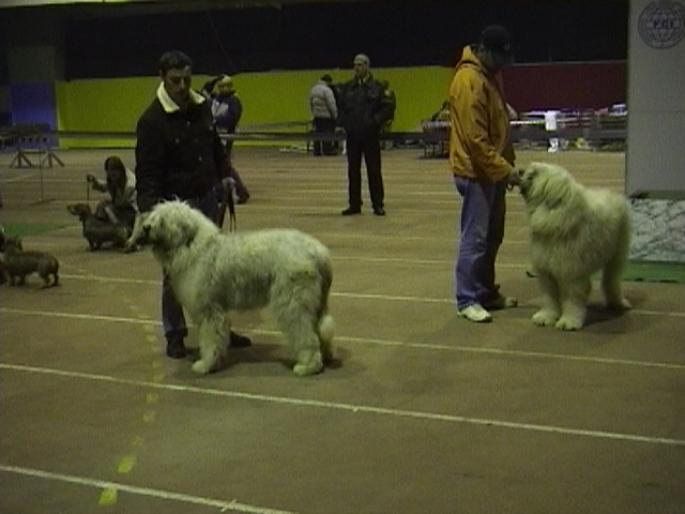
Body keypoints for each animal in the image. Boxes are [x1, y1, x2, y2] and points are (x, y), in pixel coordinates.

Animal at [139, 201, 334, 376]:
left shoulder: (210, 310)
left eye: (163, 220)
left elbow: (210, 340)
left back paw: (308, 366)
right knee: (322, 329)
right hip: (315, 303)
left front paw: (205, 365)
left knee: (306, 334)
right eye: (154, 215)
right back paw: (326, 357)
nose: (146, 227)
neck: (195, 248)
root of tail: (320, 252)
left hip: (293, 304)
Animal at [512, 161, 632, 328]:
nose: (519, 171)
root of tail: (614, 195)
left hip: (616, 255)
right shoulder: (546, 271)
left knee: (611, 280)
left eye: (534, 173)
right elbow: (549, 297)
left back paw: (617, 303)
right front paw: (546, 316)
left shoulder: (573, 274)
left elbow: (572, 298)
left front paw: (569, 321)